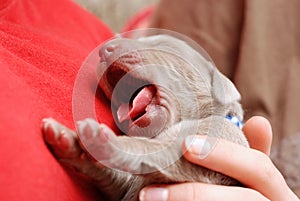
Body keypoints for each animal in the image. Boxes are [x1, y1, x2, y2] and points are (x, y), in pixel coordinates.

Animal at [42, 33, 248, 200]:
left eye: (164, 45)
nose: (104, 49)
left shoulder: (215, 139)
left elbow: (156, 148)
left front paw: (104, 140)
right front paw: (70, 142)